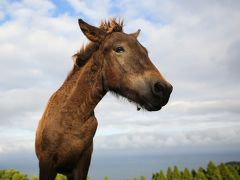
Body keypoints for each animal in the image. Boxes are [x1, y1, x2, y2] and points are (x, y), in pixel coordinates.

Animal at [34, 19, 172, 179]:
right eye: (119, 49)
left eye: (145, 52)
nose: (164, 89)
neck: (71, 118)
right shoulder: (46, 164)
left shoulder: (82, 165)